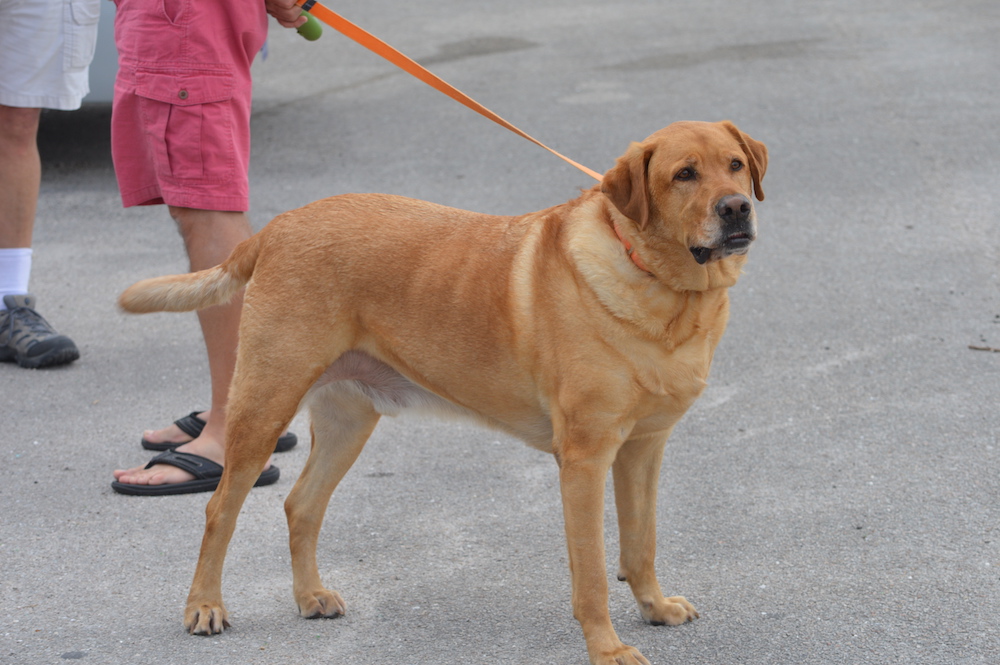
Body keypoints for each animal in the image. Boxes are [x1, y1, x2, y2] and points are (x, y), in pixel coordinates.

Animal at [121, 120, 768, 664]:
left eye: (735, 165)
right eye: (683, 174)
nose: (737, 208)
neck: (665, 286)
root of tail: (279, 226)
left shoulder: (643, 450)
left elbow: (641, 544)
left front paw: (654, 607)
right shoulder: (585, 460)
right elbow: (590, 575)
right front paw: (606, 649)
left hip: (348, 421)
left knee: (301, 505)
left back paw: (310, 596)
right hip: (263, 407)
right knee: (219, 511)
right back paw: (204, 605)